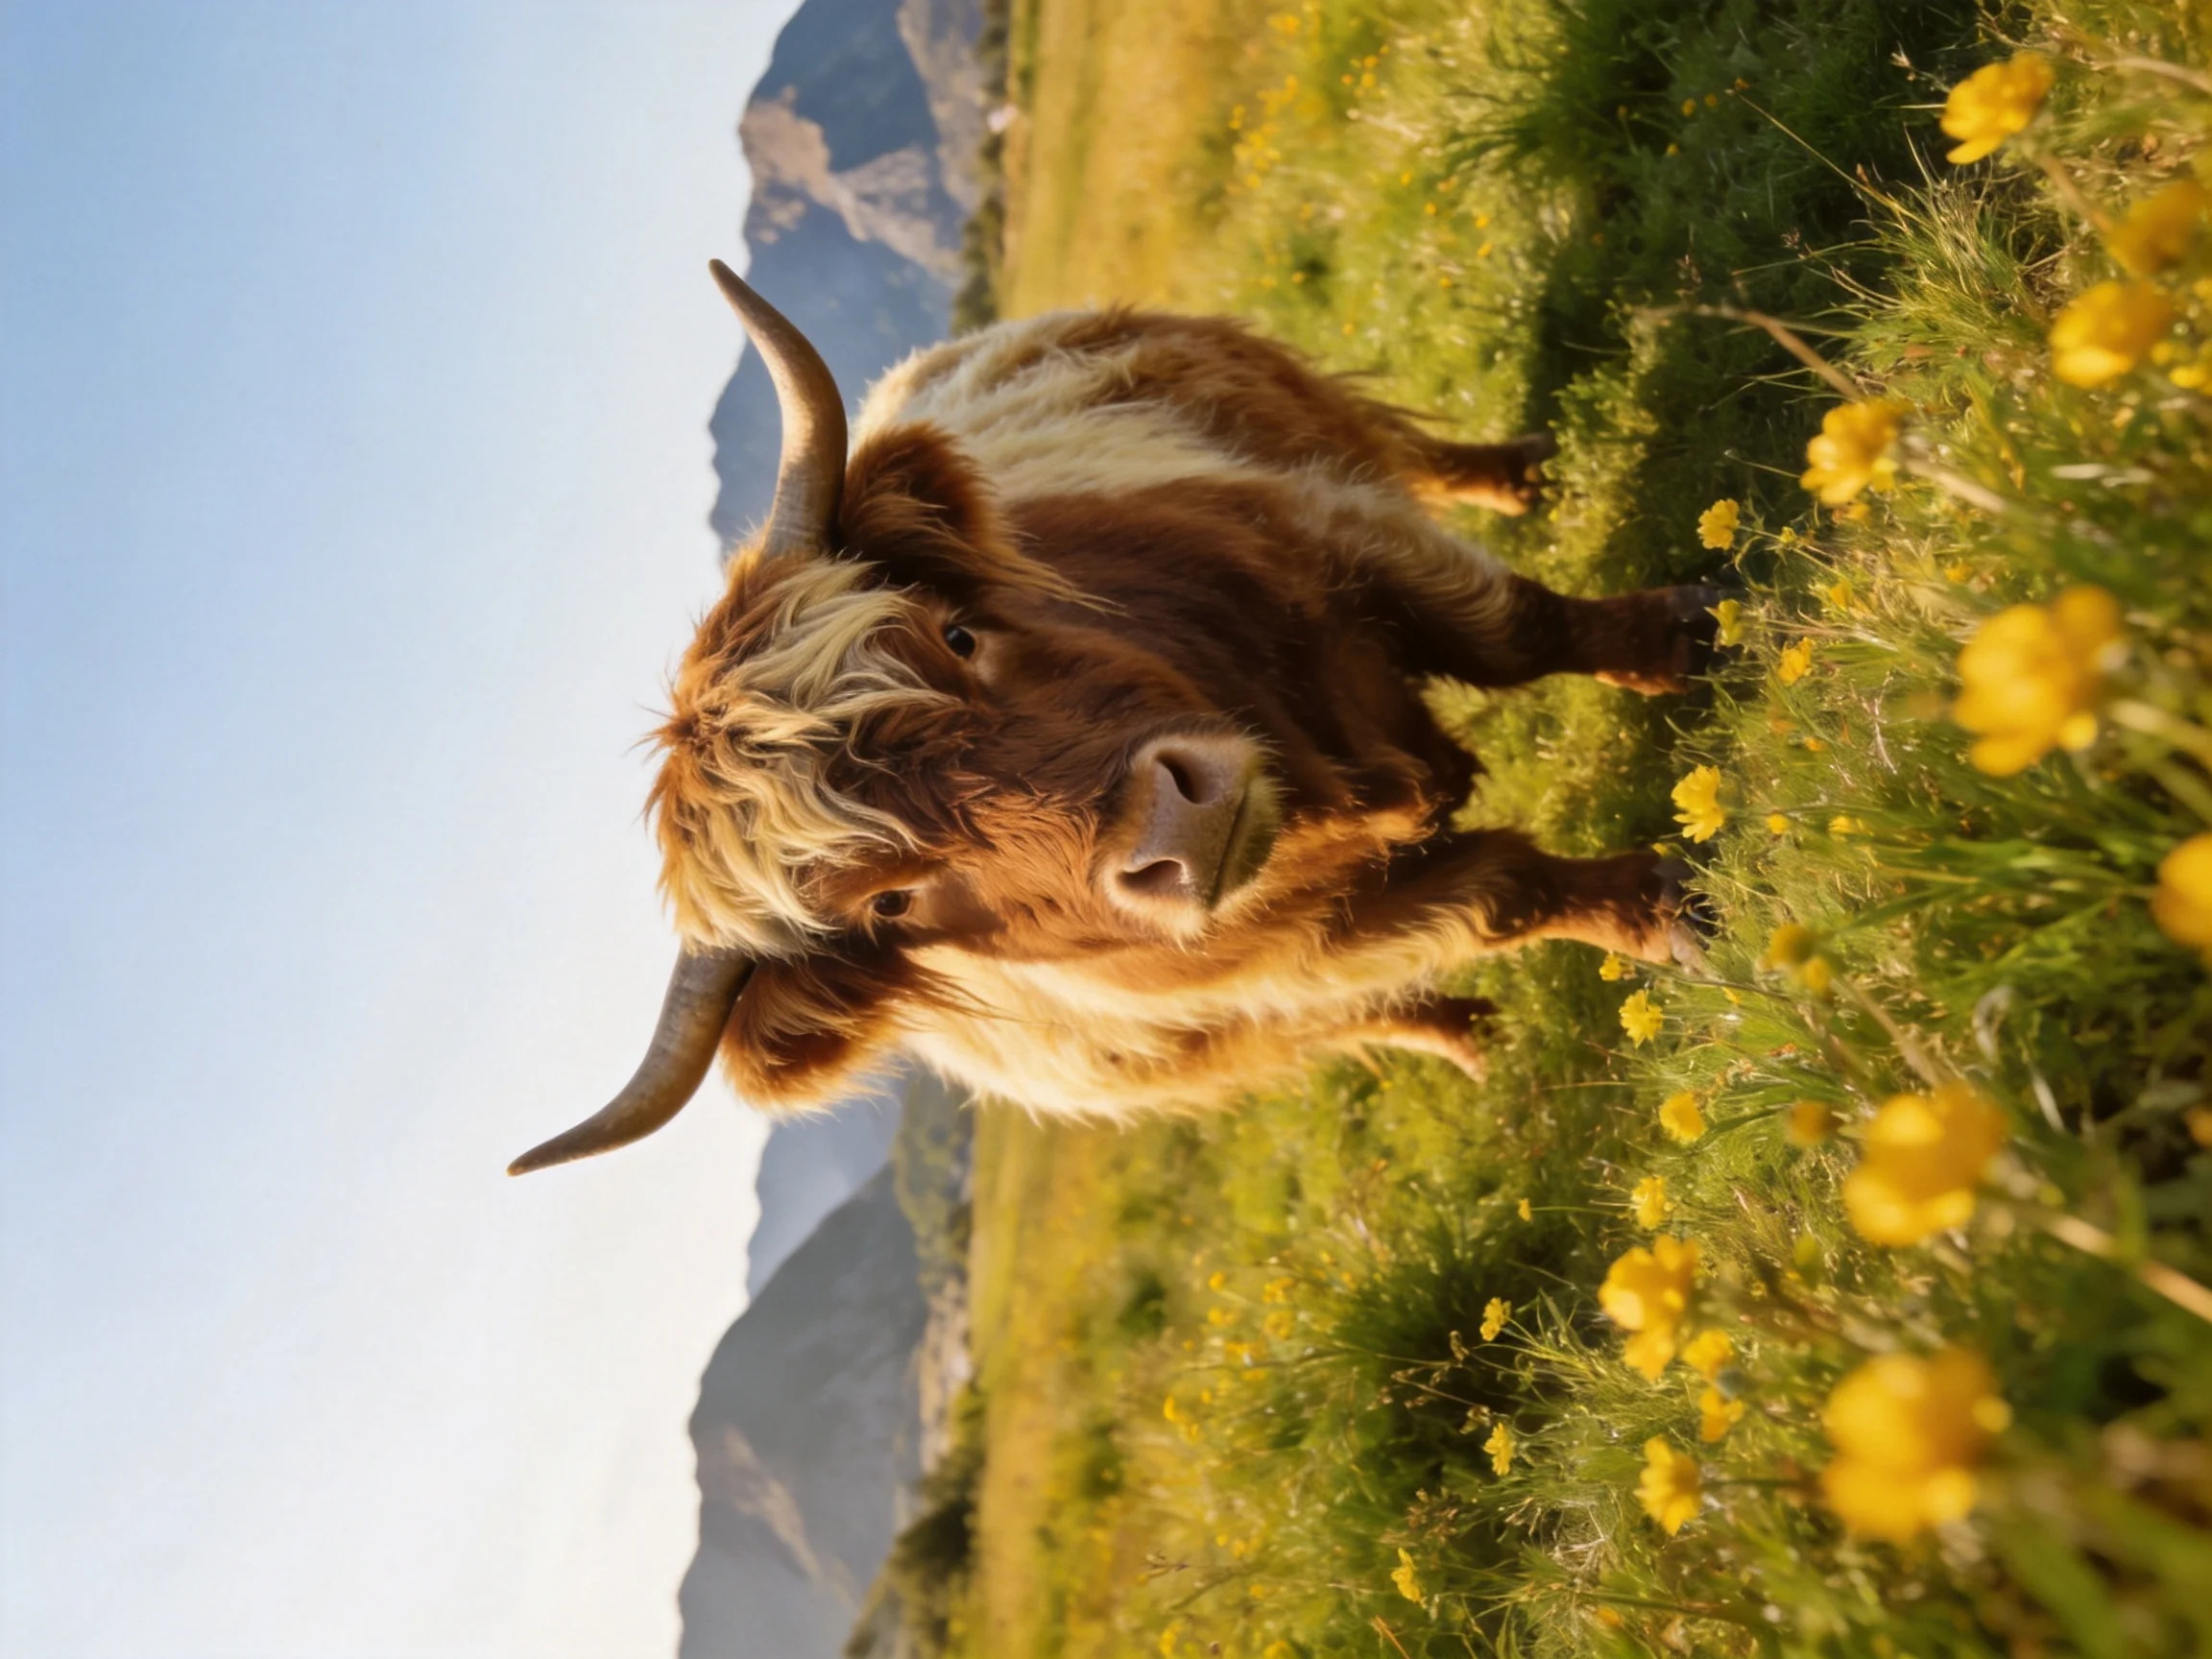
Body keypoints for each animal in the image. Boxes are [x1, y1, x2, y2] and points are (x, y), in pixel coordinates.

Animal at [508, 263, 1717, 1175]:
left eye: (955, 638)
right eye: (891, 904)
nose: (1181, 824)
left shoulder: (1332, 535)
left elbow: (1515, 630)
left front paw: (1682, 636)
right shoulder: (1313, 942)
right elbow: (1499, 898)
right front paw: (1650, 910)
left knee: (1416, 459)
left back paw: (1522, 474)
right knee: (1370, 1017)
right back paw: (1469, 1041)